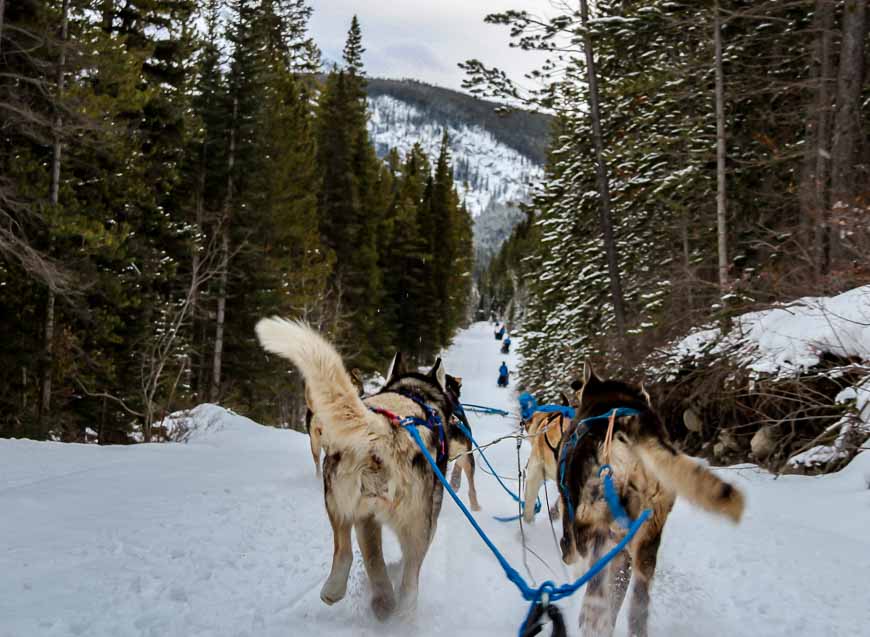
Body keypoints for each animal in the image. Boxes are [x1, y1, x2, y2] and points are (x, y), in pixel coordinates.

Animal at [255, 320, 460, 620]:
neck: (412, 393)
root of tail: (385, 428)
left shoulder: (366, 518)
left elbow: (373, 558)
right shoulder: (428, 517)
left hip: (339, 498)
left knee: (348, 551)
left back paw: (352, 593)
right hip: (414, 523)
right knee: (409, 577)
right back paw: (403, 612)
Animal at [560, 362, 744, 636]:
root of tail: (632, 424)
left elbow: (572, 556)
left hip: (596, 526)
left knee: (595, 597)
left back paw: (589, 619)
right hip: (645, 544)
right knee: (636, 608)